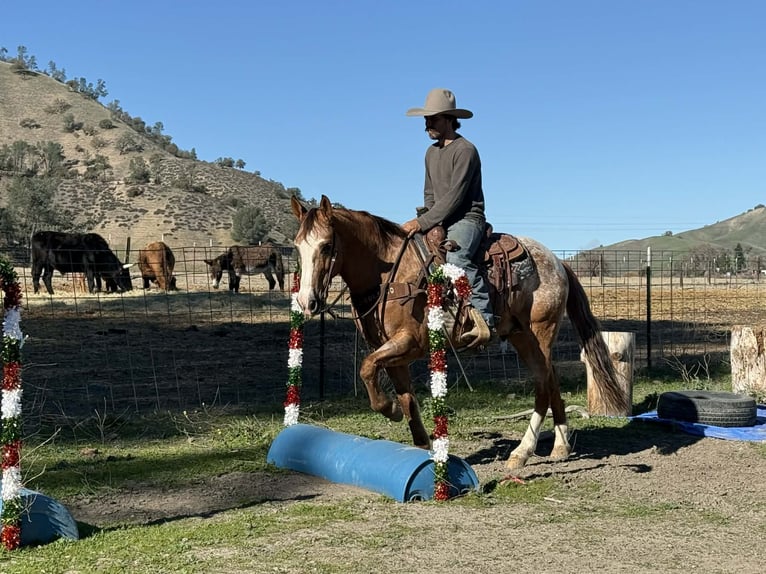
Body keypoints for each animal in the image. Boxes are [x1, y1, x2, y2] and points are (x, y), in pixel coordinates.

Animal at [290, 195, 628, 470]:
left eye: (327, 246)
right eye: (297, 246)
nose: (308, 302)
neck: (388, 274)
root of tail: (558, 262)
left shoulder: (409, 343)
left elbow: (367, 368)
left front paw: (389, 410)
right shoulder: (392, 352)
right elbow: (405, 397)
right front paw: (421, 448)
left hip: (540, 331)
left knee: (543, 384)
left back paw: (522, 452)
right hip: (521, 336)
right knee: (552, 379)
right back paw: (560, 446)